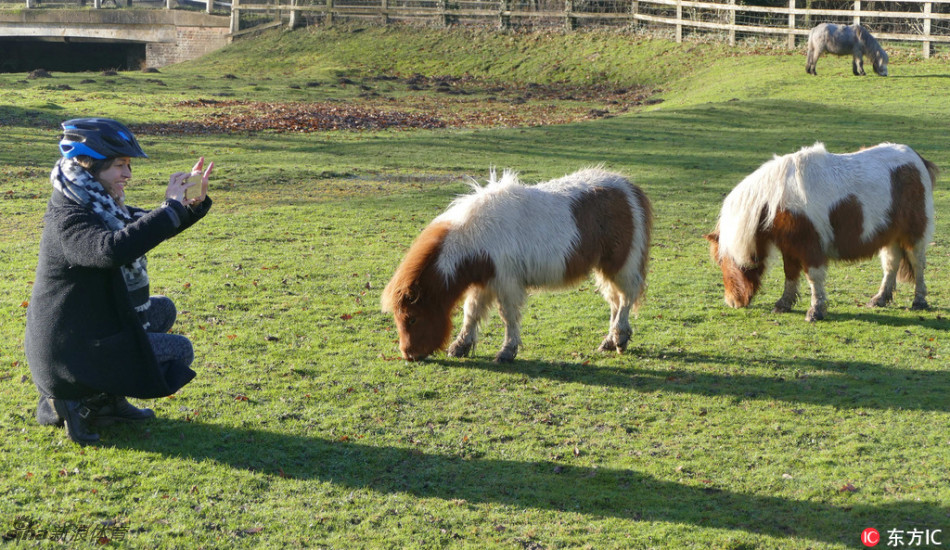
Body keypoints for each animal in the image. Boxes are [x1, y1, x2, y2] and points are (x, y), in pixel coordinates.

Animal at [384, 169, 652, 366]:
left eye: (412, 318)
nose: (409, 355)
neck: (475, 235)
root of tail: (628, 188)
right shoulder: (484, 283)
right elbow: (471, 313)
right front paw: (460, 346)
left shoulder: (506, 283)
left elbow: (508, 316)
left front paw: (506, 351)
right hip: (605, 269)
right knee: (615, 302)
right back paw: (609, 342)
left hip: (621, 266)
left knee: (625, 299)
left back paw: (620, 338)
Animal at [708, 143, 936, 324]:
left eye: (721, 262)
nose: (732, 302)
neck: (777, 199)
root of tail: (917, 159)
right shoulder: (789, 247)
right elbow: (790, 274)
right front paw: (784, 303)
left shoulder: (810, 247)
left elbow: (813, 277)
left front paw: (815, 311)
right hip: (890, 236)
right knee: (891, 264)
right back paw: (879, 299)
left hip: (913, 234)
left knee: (917, 263)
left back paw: (919, 301)